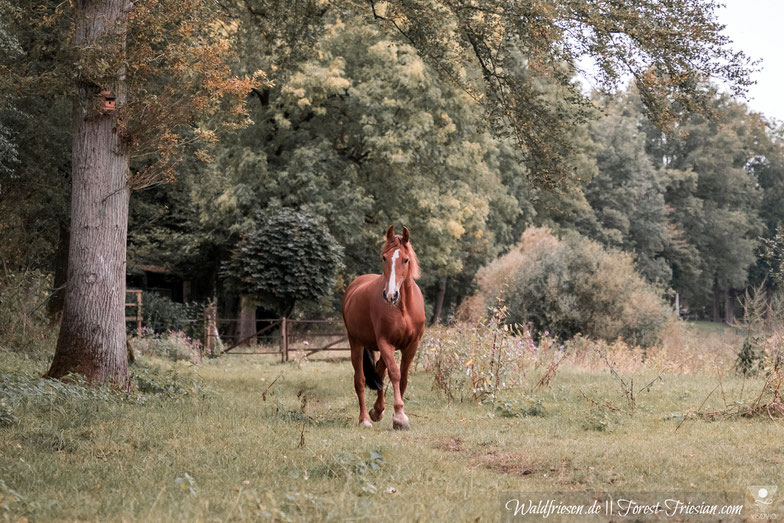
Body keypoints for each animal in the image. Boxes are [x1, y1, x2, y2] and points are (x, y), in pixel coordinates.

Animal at [342, 225, 426, 430]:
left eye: (405, 259)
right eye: (384, 257)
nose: (390, 295)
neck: (403, 308)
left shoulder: (411, 345)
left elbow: (403, 378)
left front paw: (393, 414)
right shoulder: (385, 343)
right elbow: (395, 374)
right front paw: (399, 416)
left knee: (379, 372)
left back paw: (377, 411)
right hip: (356, 344)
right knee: (360, 380)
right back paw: (365, 418)